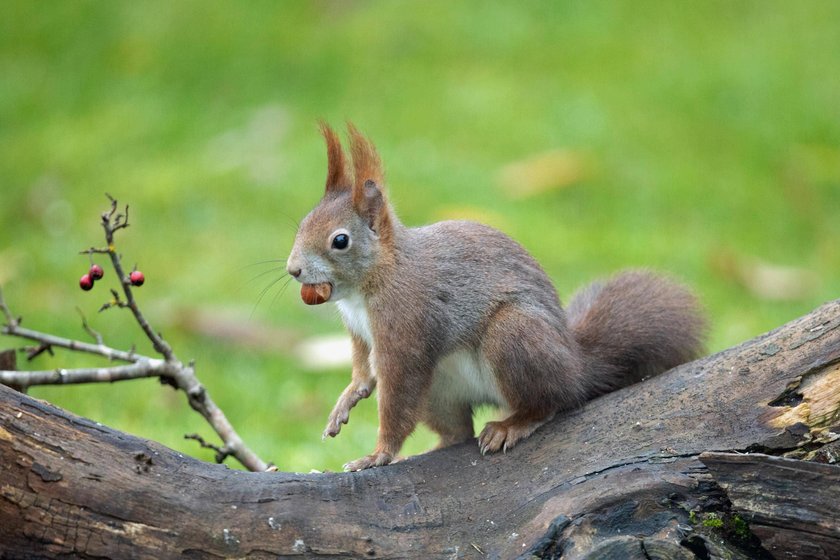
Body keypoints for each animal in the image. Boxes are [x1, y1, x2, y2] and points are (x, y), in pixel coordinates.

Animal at [286, 123, 707, 472]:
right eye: (303, 223)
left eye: (340, 240)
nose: (293, 270)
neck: (371, 283)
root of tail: (576, 364)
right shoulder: (360, 332)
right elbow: (362, 370)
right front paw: (347, 400)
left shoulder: (406, 328)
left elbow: (396, 395)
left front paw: (379, 454)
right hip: (439, 390)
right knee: (458, 433)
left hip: (513, 336)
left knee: (552, 401)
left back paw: (513, 424)